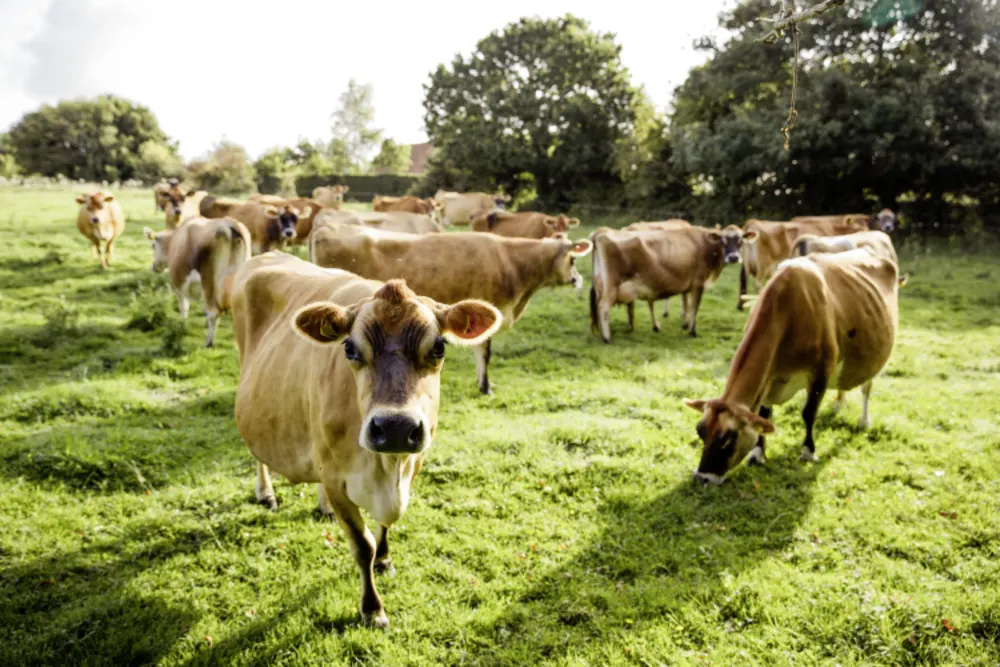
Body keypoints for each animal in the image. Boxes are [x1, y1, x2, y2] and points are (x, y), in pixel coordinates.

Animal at [143, 217, 251, 347]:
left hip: (209, 283)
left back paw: (209, 342)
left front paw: (182, 327)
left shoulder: (178, 287)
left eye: (153, 246)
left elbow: (184, 307)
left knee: (213, 313)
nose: (154, 267)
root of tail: (230, 223)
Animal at [231, 251, 501, 628]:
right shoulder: (336, 478)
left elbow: (384, 526)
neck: (386, 470)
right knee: (258, 453)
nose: (396, 427)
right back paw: (266, 493)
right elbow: (362, 545)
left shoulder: (414, 461)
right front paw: (372, 608)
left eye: (438, 347)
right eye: (349, 349)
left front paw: (385, 559)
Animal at [589, 225, 744, 341]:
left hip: (600, 284)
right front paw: (692, 331)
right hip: (612, 286)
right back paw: (607, 338)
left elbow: (687, 305)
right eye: (724, 240)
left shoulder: (687, 285)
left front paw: (685, 325)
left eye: (741, 240)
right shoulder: (698, 283)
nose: (734, 257)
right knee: (603, 306)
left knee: (597, 306)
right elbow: (694, 307)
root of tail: (602, 231)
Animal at [684, 247, 903, 484]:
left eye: (729, 438)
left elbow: (808, 413)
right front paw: (758, 453)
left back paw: (864, 420)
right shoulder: (770, 377)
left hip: (877, 357)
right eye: (700, 432)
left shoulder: (821, 371)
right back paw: (838, 404)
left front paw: (808, 451)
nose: (702, 477)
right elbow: (764, 415)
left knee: (867, 388)